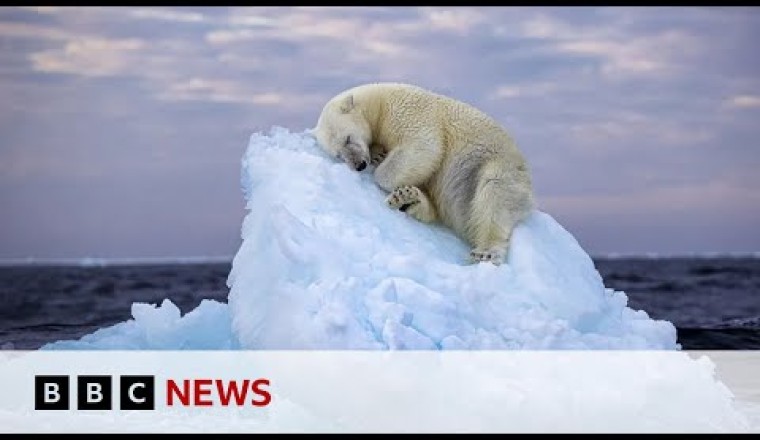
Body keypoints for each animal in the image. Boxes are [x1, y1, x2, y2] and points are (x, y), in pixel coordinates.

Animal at [314, 82, 535, 265]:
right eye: (338, 154)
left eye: (348, 139)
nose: (359, 165)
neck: (379, 102)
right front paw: (378, 155)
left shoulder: (406, 111)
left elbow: (424, 146)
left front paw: (381, 169)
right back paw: (407, 198)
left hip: (497, 166)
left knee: (494, 194)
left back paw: (486, 252)